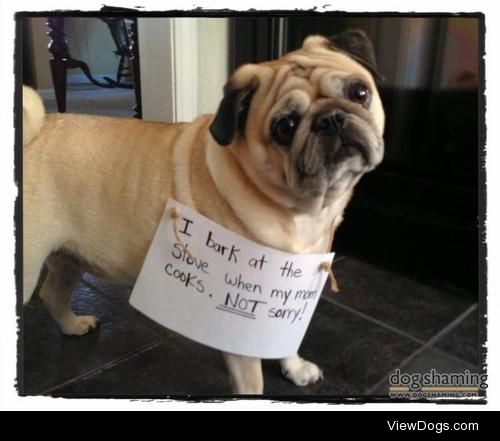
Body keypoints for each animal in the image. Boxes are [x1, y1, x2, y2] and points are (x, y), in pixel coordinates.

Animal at [22, 29, 382, 394]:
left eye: (360, 92)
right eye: (285, 127)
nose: (331, 119)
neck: (304, 211)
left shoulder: (282, 301)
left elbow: (283, 340)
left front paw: (294, 368)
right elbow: (251, 382)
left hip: (68, 258)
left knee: (52, 293)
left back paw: (73, 325)